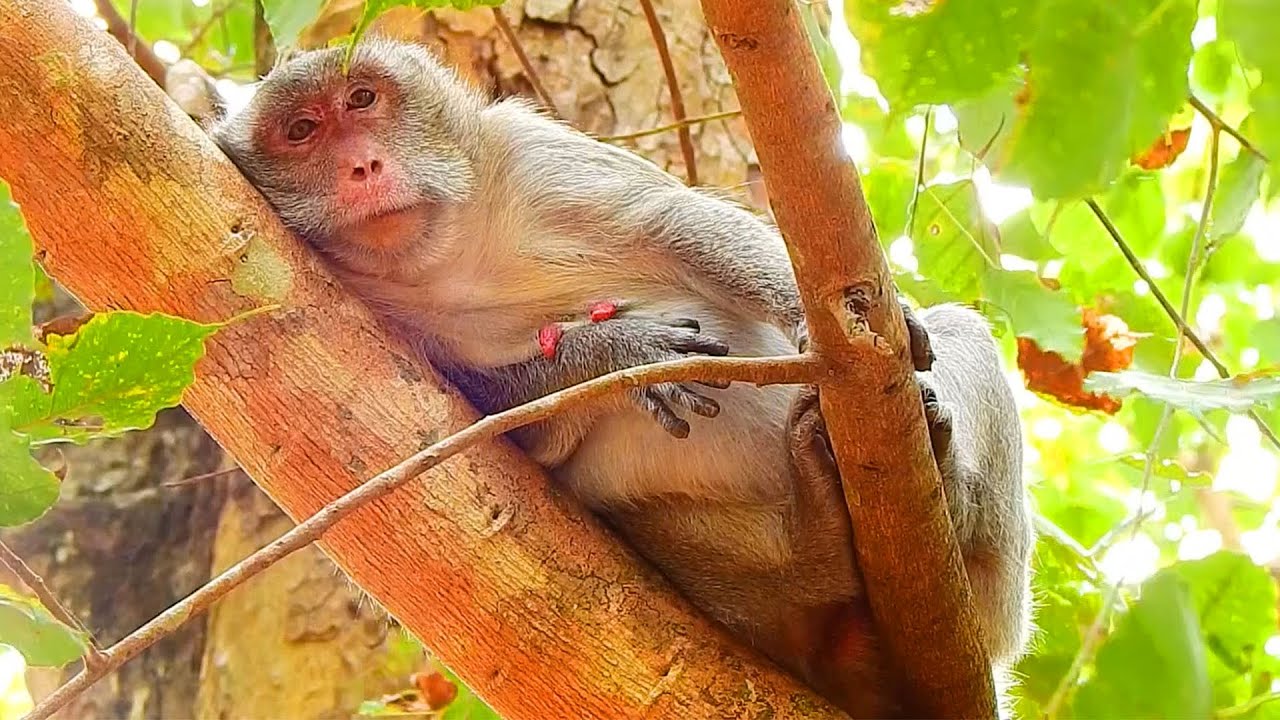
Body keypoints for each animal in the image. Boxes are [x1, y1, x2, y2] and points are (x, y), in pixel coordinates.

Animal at [211, 38, 1033, 717]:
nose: (362, 166)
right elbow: (493, 429)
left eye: (362, 100)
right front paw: (623, 353)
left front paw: (817, 320)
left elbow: (677, 223)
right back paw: (818, 536)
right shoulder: (362, 309)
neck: (442, 255)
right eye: (301, 132)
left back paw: (947, 485)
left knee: (962, 342)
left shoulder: (533, 155)